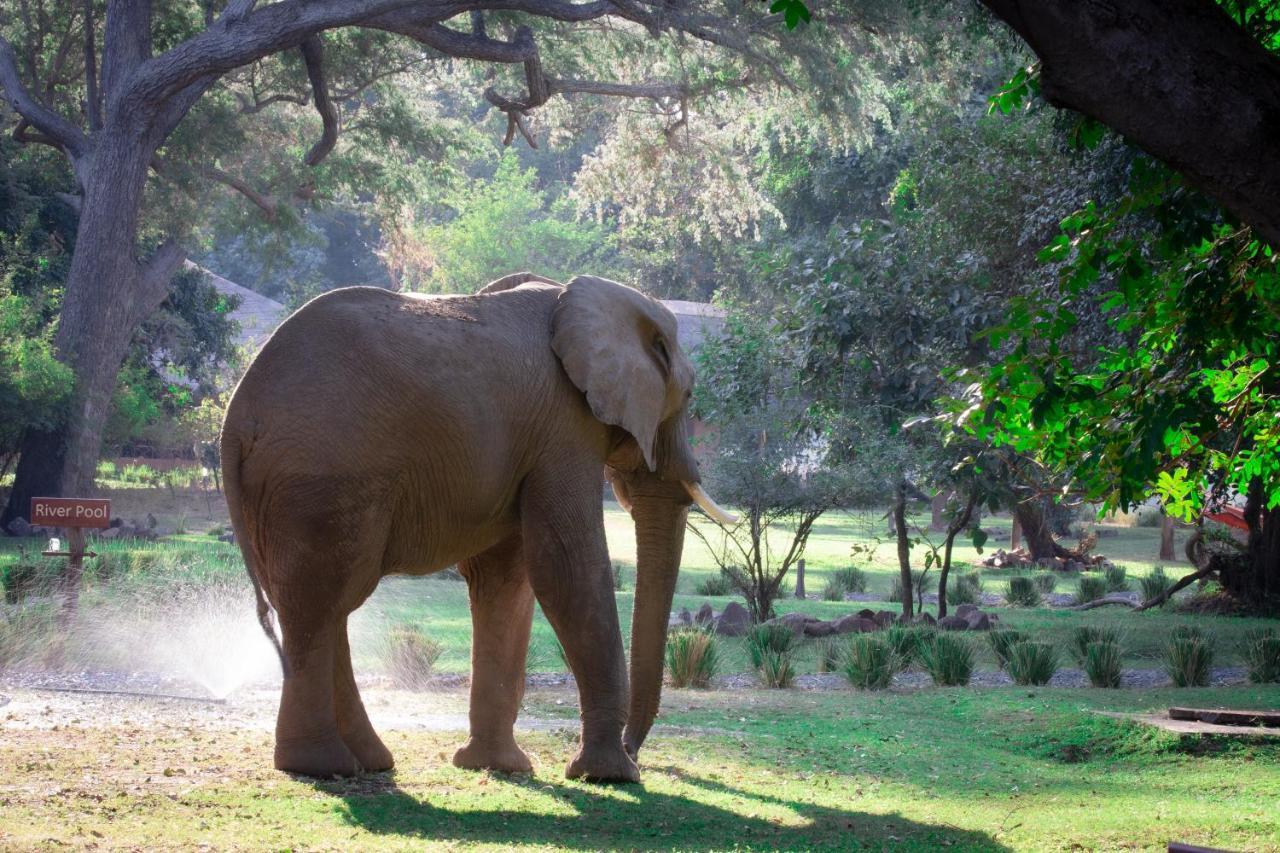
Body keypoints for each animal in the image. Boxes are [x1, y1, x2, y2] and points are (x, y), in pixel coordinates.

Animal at [220, 270, 732, 778]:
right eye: (688, 396)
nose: (636, 752)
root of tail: (236, 415)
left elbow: (505, 579)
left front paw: (499, 766)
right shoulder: (564, 428)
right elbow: (567, 568)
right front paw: (607, 774)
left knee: (323, 603)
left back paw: (368, 762)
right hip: (320, 473)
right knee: (322, 601)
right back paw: (324, 766)